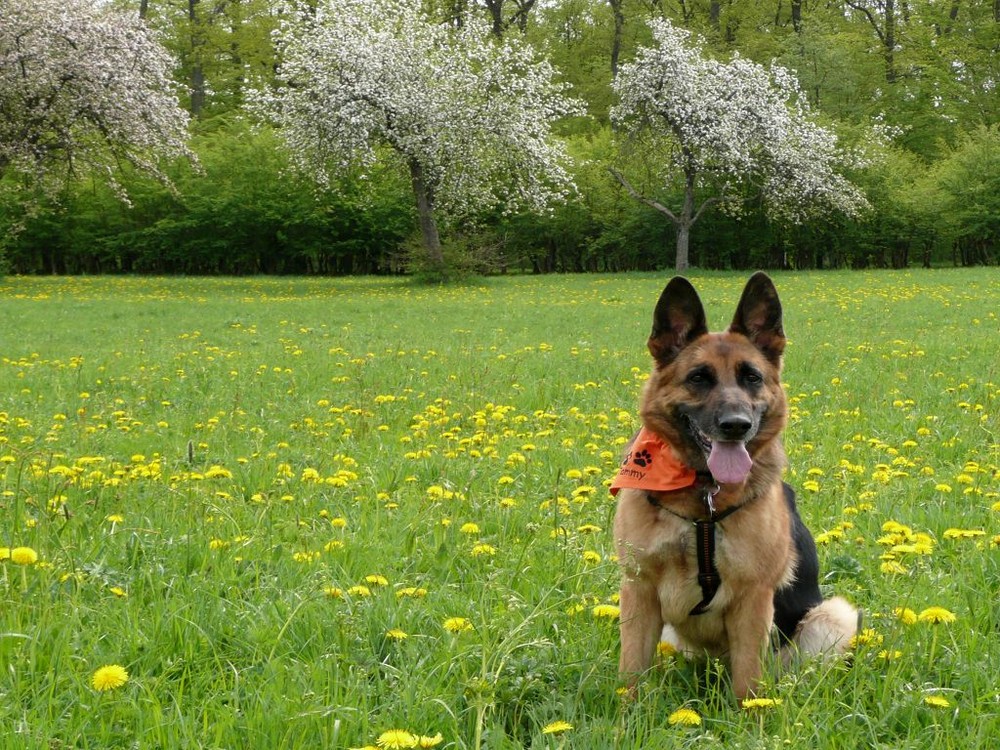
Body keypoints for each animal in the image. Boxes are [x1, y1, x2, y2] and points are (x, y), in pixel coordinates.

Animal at [612, 274, 856, 704]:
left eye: (752, 377)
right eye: (698, 378)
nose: (736, 425)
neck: (704, 502)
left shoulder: (752, 599)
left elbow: (748, 680)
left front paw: (753, 716)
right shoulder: (638, 589)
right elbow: (632, 674)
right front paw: (627, 717)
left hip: (832, 614)